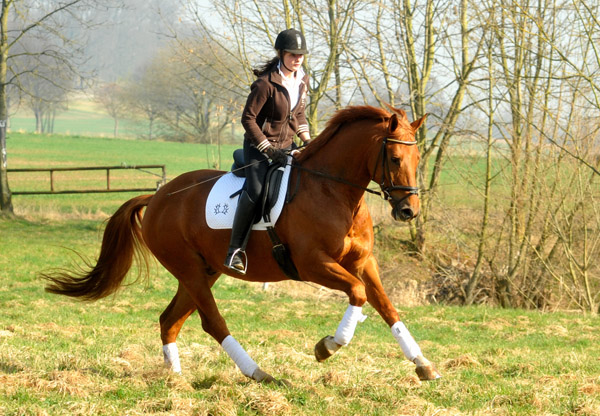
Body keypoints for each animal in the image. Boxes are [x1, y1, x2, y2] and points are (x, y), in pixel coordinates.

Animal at [42, 104, 440, 384]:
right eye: (394, 158)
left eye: (418, 158)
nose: (408, 210)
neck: (334, 191)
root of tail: (157, 197)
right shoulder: (313, 264)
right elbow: (357, 294)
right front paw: (327, 346)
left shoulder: (363, 262)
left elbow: (387, 307)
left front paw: (423, 364)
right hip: (191, 270)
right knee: (212, 322)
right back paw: (259, 373)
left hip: (203, 272)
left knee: (170, 320)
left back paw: (174, 378)